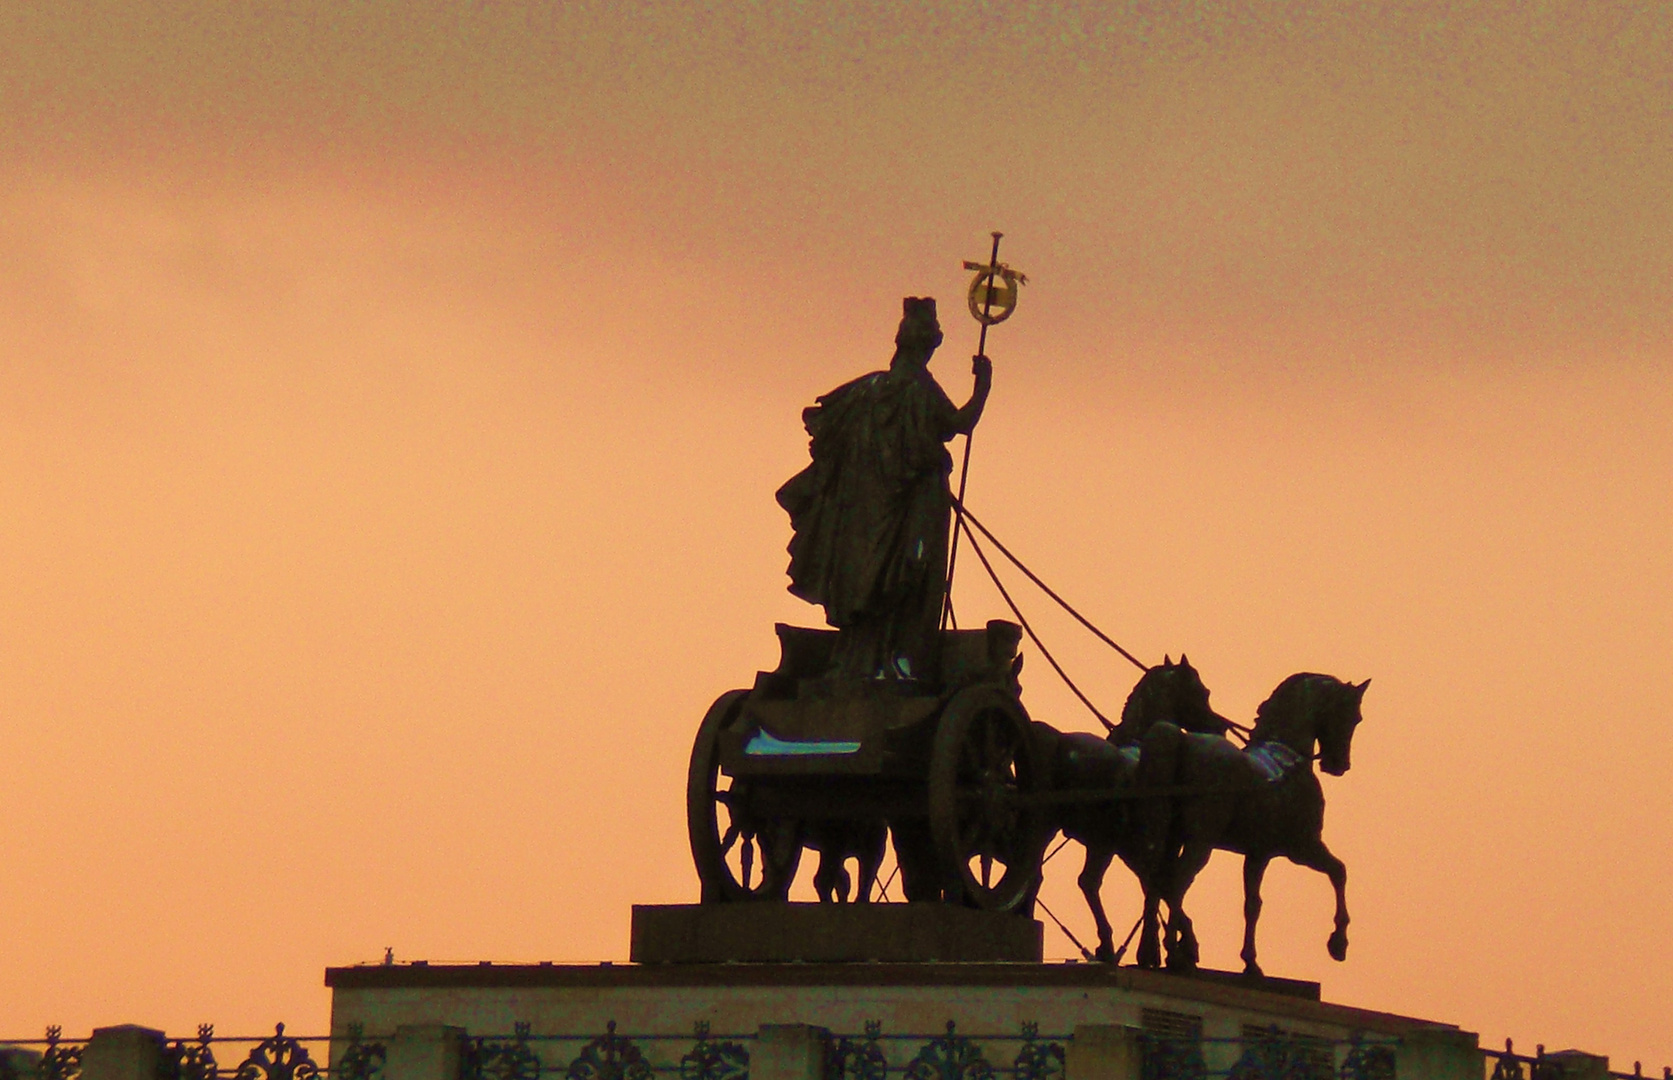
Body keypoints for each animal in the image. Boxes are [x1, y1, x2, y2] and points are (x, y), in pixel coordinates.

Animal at [1030, 655, 1244, 969]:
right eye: (1202, 691)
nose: (1219, 727)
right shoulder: (1149, 844)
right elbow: (1162, 884)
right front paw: (1174, 948)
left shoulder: (1132, 848)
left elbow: (1158, 884)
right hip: (1100, 840)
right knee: (1088, 881)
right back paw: (1108, 945)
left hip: (1054, 830)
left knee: (1043, 877)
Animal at [1137, 672, 1371, 976]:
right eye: (1354, 716)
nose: (1340, 764)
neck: (1287, 757)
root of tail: (1180, 741)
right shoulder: (1303, 848)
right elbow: (1339, 871)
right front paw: (1338, 942)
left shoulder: (1258, 854)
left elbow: (1252, 904)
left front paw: (1250, 962)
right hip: (1200, 842)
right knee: (1177, 881)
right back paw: (1176, 955)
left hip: (1167, 836)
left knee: (1155, 878)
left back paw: (1149, 953)